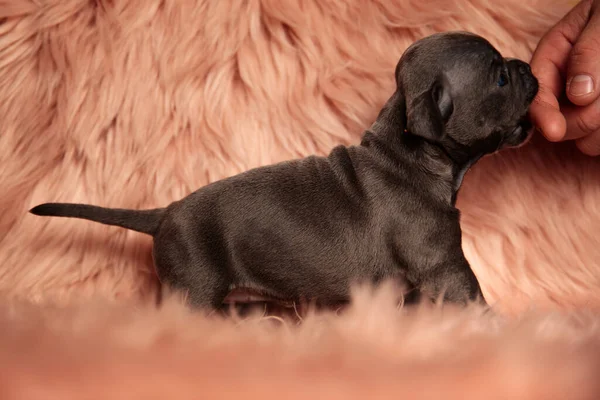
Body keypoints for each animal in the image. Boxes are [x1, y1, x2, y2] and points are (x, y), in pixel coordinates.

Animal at [30, 32, 540, 310]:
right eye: (499, 76)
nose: (527, 66)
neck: (412, 153)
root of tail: (165, 213)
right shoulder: (448, 267)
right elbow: (473, 299)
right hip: (193, 289)